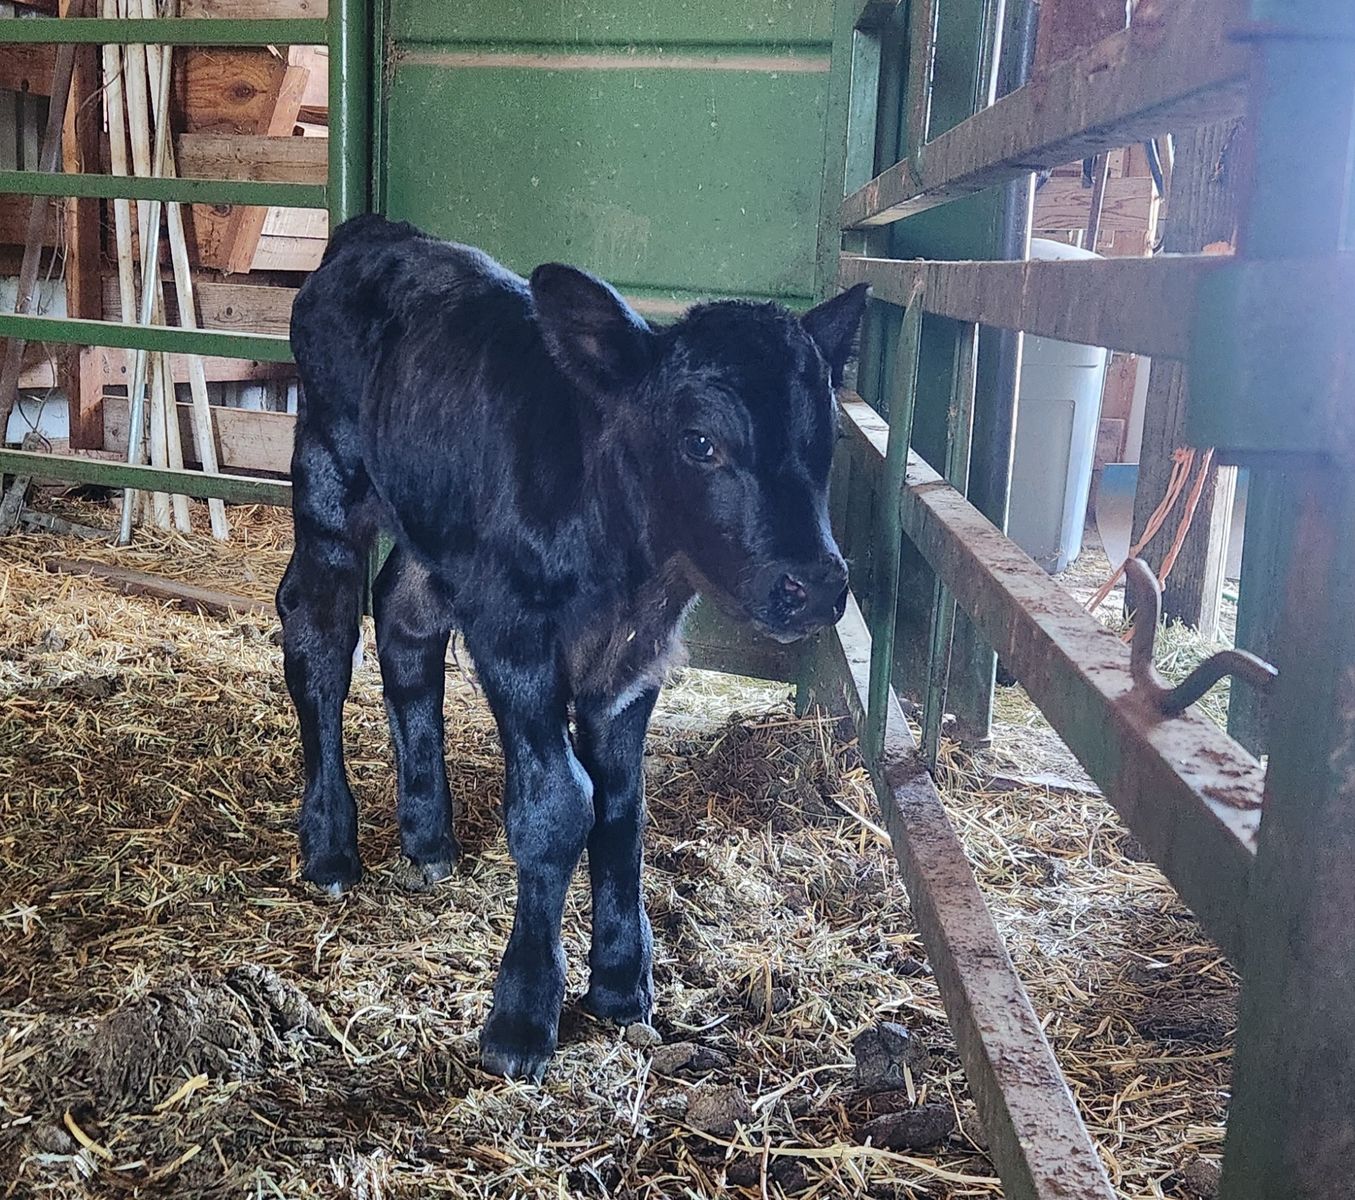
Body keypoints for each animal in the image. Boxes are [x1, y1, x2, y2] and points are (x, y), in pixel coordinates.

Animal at [278, 214, 868, 1080]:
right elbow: (560, 806)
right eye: (700, 443)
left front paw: (623, 984)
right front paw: (523, 1017)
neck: (626, 561)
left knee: (405, 621)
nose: (817, 586)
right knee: (318, 634)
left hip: (437, 526)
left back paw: (428, 836)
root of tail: (375, 233)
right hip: (329, 476)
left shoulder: (634, 662)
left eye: (825, 440)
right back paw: (328, 846)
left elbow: (622, 810)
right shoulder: (514, 637)